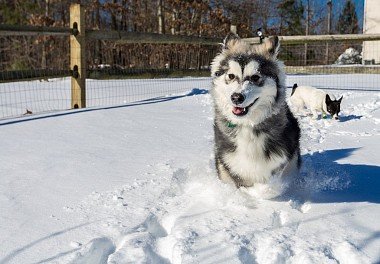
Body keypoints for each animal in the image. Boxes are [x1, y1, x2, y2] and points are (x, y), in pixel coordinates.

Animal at [211, 34, 300, 197]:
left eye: (255, 77)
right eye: (231, 76)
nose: (236, 97)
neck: (248, 124)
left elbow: (274, 181)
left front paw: (267, 190)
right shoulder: (229, 162)